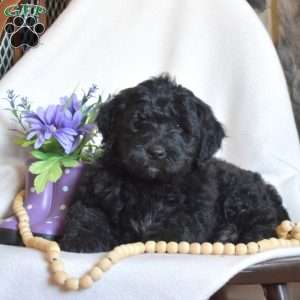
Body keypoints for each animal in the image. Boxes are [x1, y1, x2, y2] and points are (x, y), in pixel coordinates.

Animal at [60, 75, 288, 253]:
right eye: (139, 121)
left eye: (179, 126)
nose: (156, 152)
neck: (150, 184)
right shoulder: (95, 194)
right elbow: (87, 214)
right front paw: (82, 240)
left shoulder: (193, 211)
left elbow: (175, 227)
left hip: (241, 194)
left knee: (264, 224)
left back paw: (230, 234)